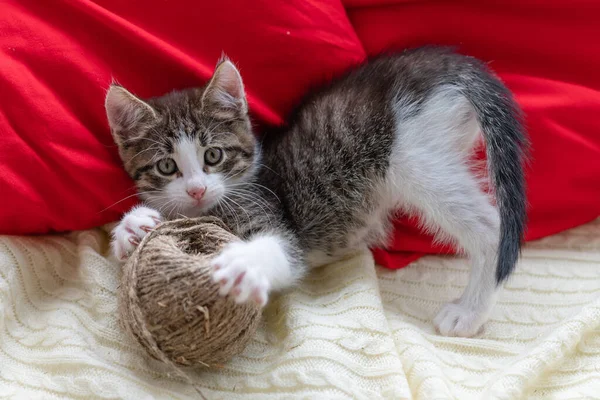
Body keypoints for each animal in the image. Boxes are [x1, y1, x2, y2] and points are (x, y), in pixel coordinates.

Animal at [105, 47, 528, 338]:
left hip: (413, 155)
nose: (196, 189)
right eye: (166, 166)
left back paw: (469, 312)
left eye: (213, 156)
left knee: (491, 227)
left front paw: (245, 263)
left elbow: (282, 252)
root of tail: (443, 61)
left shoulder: (269, 212)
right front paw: (134, 226)